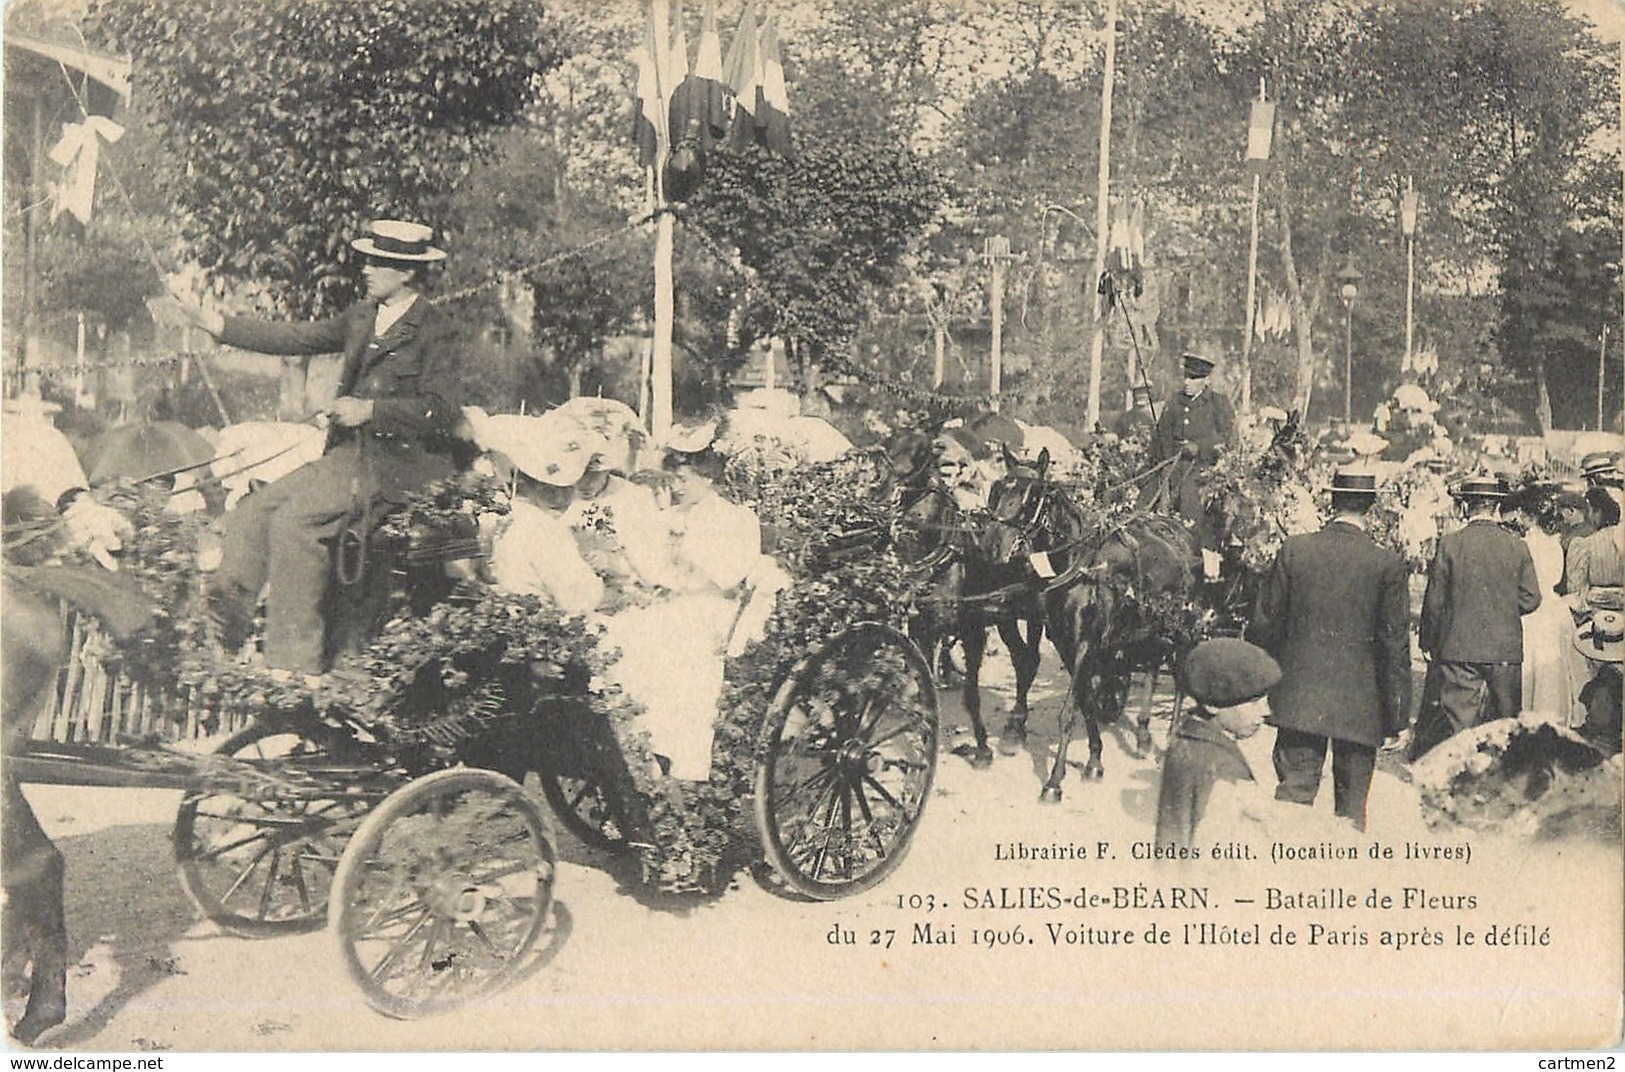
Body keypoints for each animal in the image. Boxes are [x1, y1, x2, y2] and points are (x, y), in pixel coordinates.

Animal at [975, 448, 1209, 799]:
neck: (1079, 564)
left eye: (1033, 495)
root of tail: (1180, 529)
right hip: (1150, 625)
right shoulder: (1065, 643)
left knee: (1181, 675)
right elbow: (1085, 703)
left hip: (1182, 622)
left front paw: (1054, 780)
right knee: (1153, 666)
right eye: (998, 488)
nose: (992, 545)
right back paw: (1142, 735)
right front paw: (1095, 761)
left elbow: (1069, 710)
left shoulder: (1086, 643)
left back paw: (1170, 738)